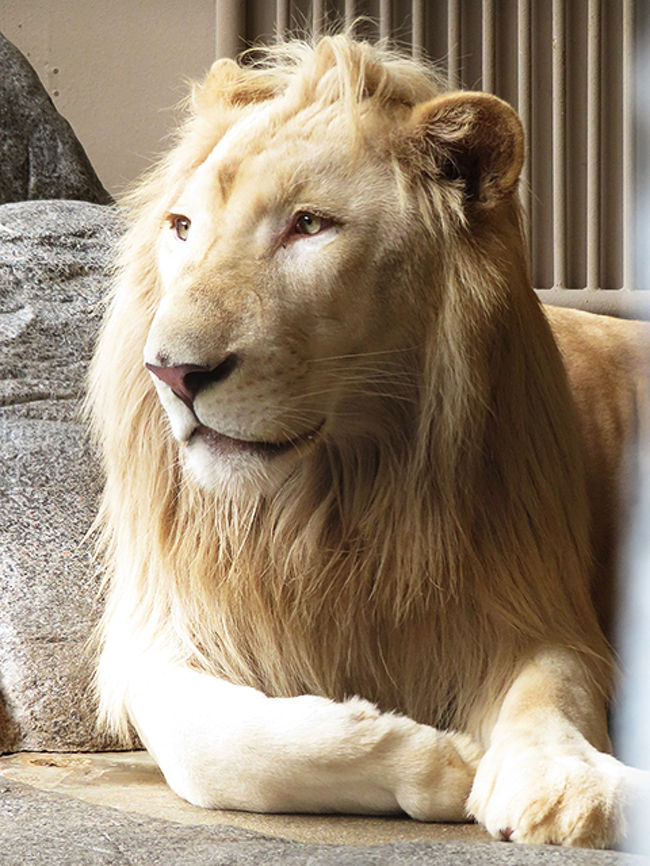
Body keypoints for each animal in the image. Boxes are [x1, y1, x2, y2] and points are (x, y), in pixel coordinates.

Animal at [88, 37, 648, 848]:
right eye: (183, 227)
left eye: (309, 225)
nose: (172, 373)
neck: (332, 504)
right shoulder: (159, 637)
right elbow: (227, 748)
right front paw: (445, 762)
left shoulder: (534, 605)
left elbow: (554, 695)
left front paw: (570, 786)